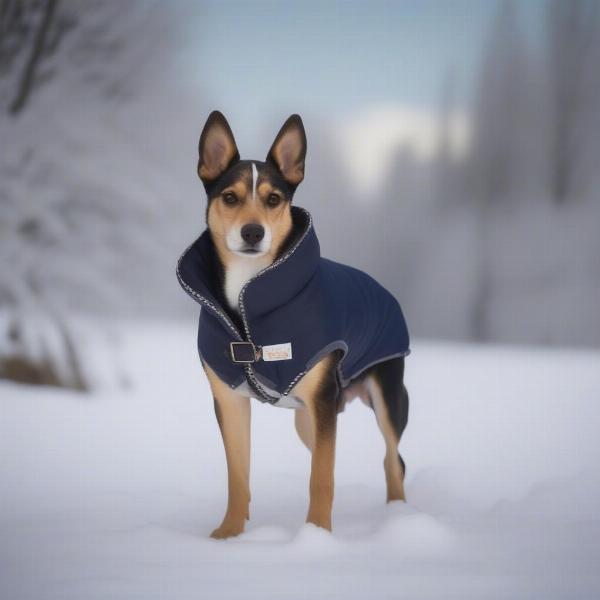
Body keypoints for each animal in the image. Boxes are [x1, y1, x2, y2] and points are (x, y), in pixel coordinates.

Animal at [178, 112, 410, 540]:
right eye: (230, 197)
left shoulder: (321, 397)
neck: (249, 295)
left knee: (392, 459)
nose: (253, 232)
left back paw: (399, 518)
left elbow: (321, 478)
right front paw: (228, 534)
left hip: (387, 396)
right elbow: (238, 475)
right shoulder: (230, 400)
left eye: (274, 199)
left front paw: (316, 536)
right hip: (309, 418)